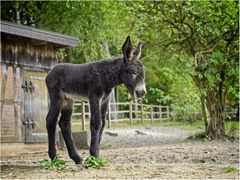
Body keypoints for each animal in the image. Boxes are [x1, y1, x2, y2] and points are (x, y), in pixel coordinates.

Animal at [45, 35, 146, 164]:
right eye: (133, 73)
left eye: (143, 74)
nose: (142, 92)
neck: (105, 76)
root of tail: (50, 72)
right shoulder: (94, 96)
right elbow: (96, 122)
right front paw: (94, 154)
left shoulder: (105, 100)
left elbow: (103, 123)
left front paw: (94, 156)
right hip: (57, 97)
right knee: (50, 120)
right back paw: (54, 157)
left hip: (68, 100)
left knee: (64, 123)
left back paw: (77, 158)